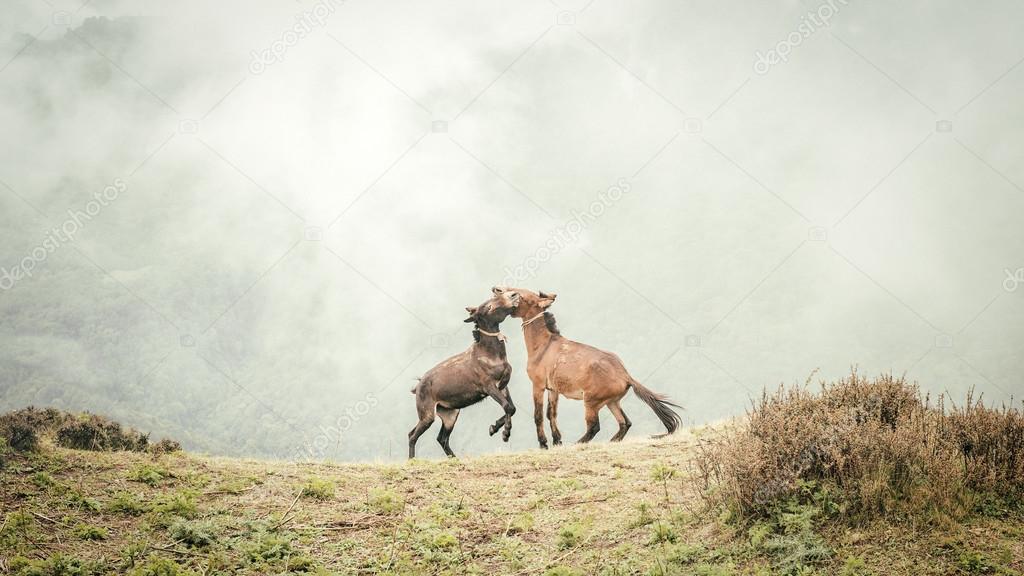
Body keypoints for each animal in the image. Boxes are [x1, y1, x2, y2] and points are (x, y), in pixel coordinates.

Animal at [407, 290, 520, 458]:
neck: (490, 355)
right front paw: (504, 433)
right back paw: (412, 460)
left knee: (442, 438)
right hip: (427, 413)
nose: (514, 295)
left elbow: (512, 408)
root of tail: (417, 386)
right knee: (413, 435)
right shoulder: (488, 386)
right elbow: (507, 407)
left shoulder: (503, 386)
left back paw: (455, 458)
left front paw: (494, 428)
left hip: (449, 413)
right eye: (488, 306)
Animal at [491, 286, 681, 448]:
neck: (544, 346)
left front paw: (543, 444)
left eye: (519, 294)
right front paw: (557, 442)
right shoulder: (553, 389)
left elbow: (538, 416)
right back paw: (610, 442)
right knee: (624, 423)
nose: (496, 289)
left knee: (594, 427)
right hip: (612, 402)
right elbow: (551, 414)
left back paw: (577, 443)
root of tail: (625, 375)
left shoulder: (538, 386)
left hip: (591, 402)